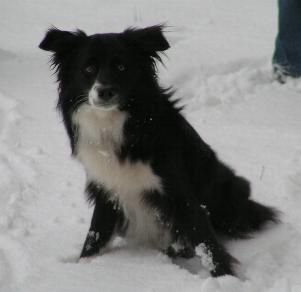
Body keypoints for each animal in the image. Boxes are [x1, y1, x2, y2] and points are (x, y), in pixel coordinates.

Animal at [38, 25, 278, 276]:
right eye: (88, 68)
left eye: (122, 67)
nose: (105, 91)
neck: (115, 125)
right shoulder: (107, 190)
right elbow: (96, 234)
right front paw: (83, 266)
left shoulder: (179, 192)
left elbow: (206, 243)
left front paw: (225, 278)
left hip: (230, 188)